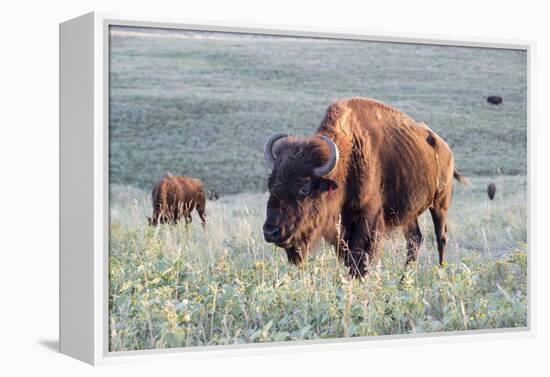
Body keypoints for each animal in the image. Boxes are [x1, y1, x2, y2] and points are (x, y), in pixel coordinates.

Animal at [264, 97, 470, 276]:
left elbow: (361, 257)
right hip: (408, 214)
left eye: (305, 188)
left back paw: (440, 272)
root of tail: (445, 148)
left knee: (441, 237)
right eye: (271, 184)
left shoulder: (368, 220)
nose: (271, 231)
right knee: (414, 240)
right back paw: (403, 280)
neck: (348, 159)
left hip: (440, 204)